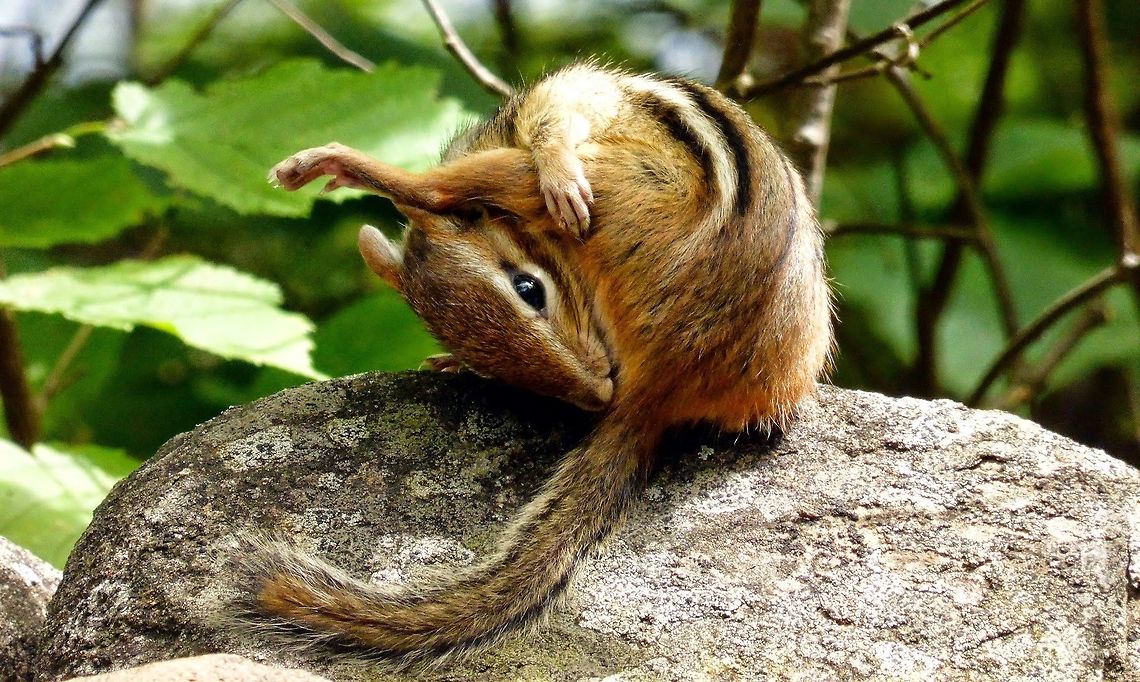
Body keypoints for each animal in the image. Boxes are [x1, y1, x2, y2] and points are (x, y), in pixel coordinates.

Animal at [230, 63, 834, 663]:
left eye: (530, 288)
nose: (597, 393)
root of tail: (667, 378)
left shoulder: (566, 98)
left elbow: (554, 125)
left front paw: (556, 166)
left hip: (616, 190)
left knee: (444, 187)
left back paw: (347, 165)